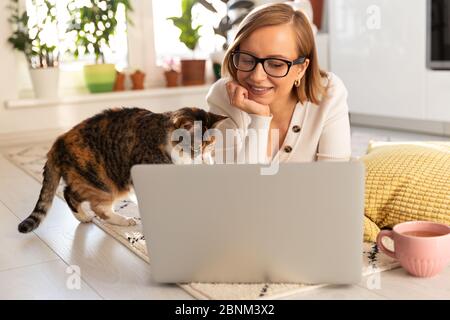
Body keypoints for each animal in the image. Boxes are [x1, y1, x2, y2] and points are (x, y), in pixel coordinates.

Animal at [18, 106, 229, 234]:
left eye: (210, 147)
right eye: (196, 148)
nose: (206, 162)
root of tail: (59, 141)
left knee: (71, 192)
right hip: (102, 182)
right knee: (84, 200)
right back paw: (115, 219)